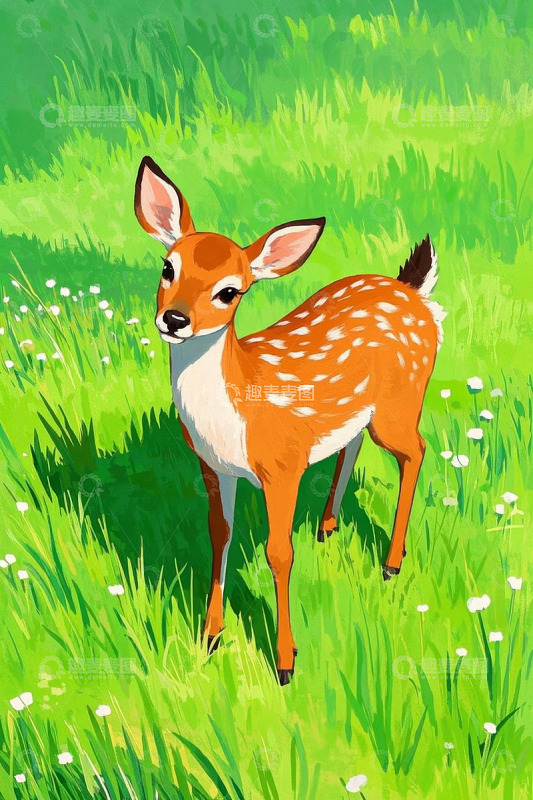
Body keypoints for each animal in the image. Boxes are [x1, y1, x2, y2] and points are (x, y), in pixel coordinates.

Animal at [134, 156, 445, 685]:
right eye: (167, 267)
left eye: (230, 292)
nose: (174, 320)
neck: (235, 410)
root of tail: (413, 291)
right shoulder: (212, 466)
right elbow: (219, 535)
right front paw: (211, 637)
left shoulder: (282, 464)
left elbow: (279, 554)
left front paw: (284, 663)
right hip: (363, 411)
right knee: (354, 444)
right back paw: (327, 526)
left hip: (400, 402)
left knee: (415, 451)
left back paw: (390, 564)